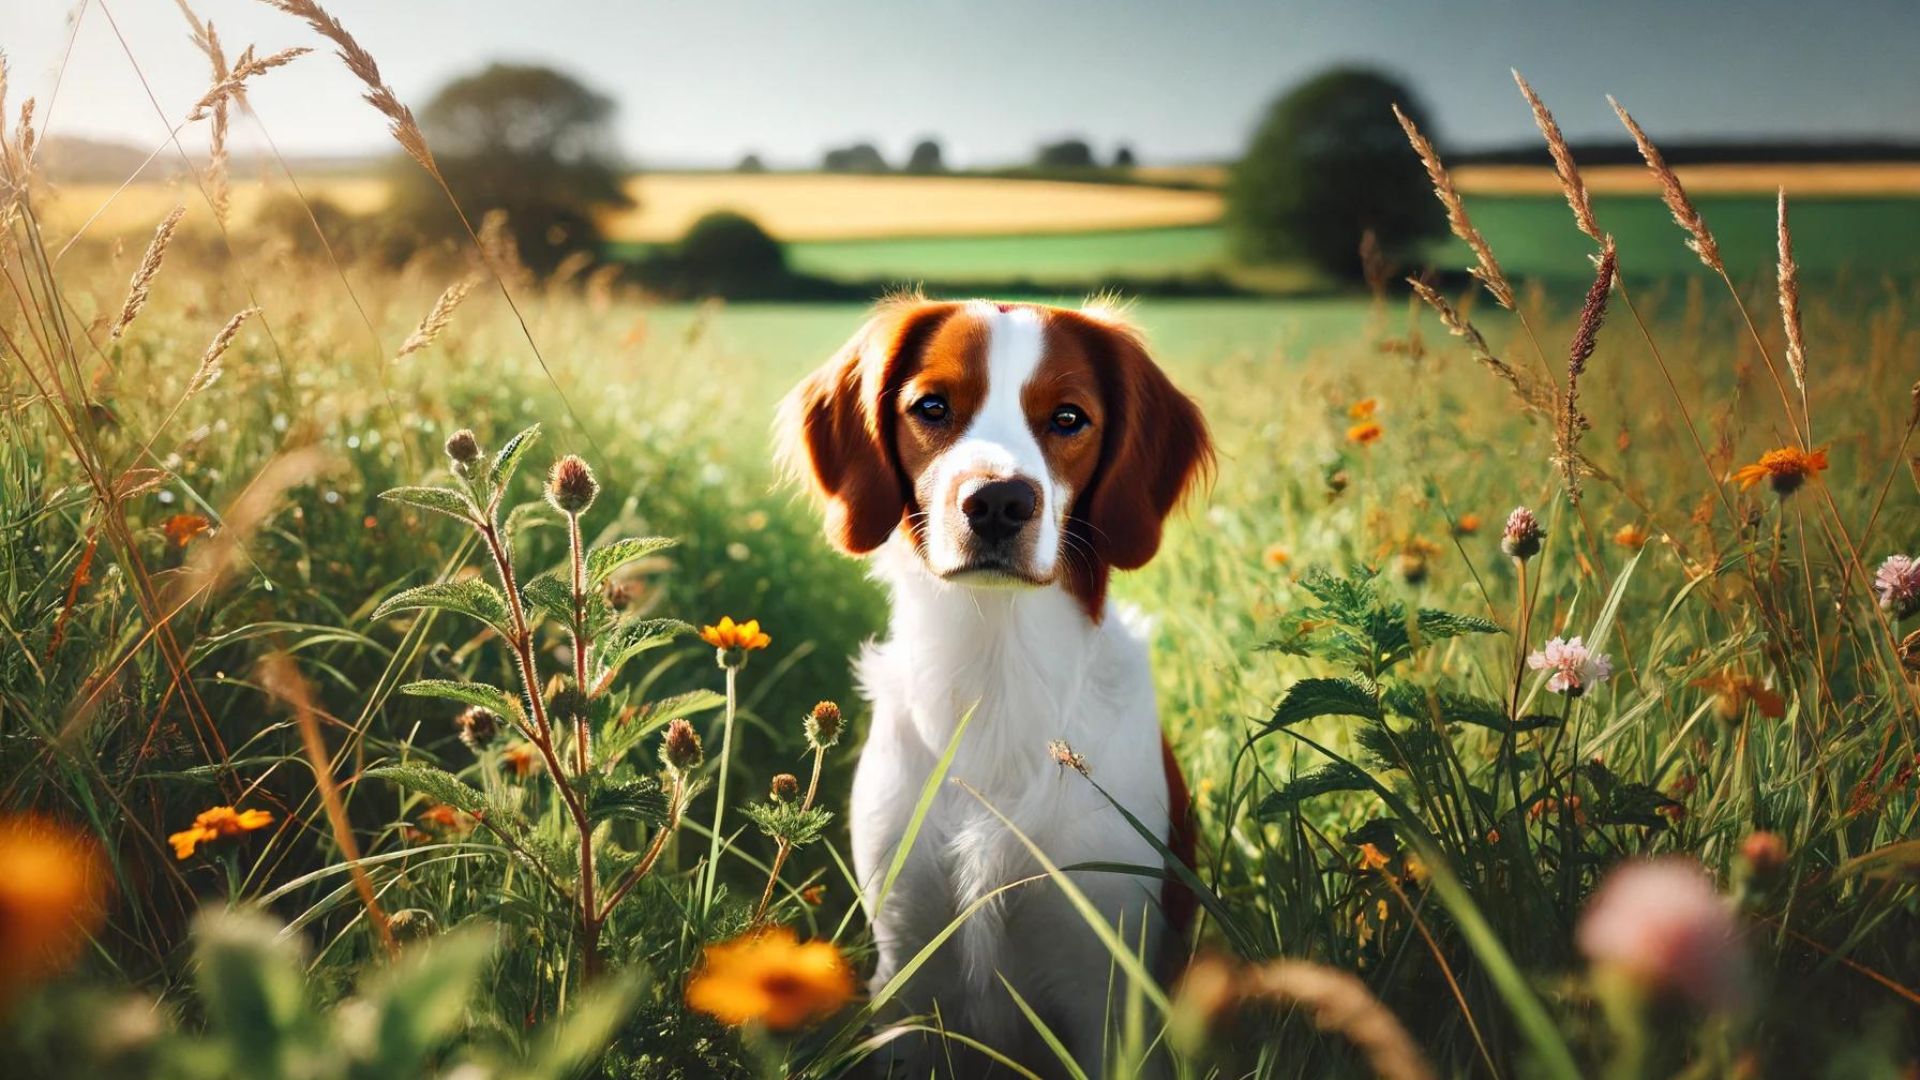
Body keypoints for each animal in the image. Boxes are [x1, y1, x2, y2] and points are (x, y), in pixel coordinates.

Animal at [775, 295, 1198, 1076]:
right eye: (932, 406)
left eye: (1068, 417)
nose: (999, 502)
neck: (995, 675)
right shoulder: (907, 968)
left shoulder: (1108, 976)